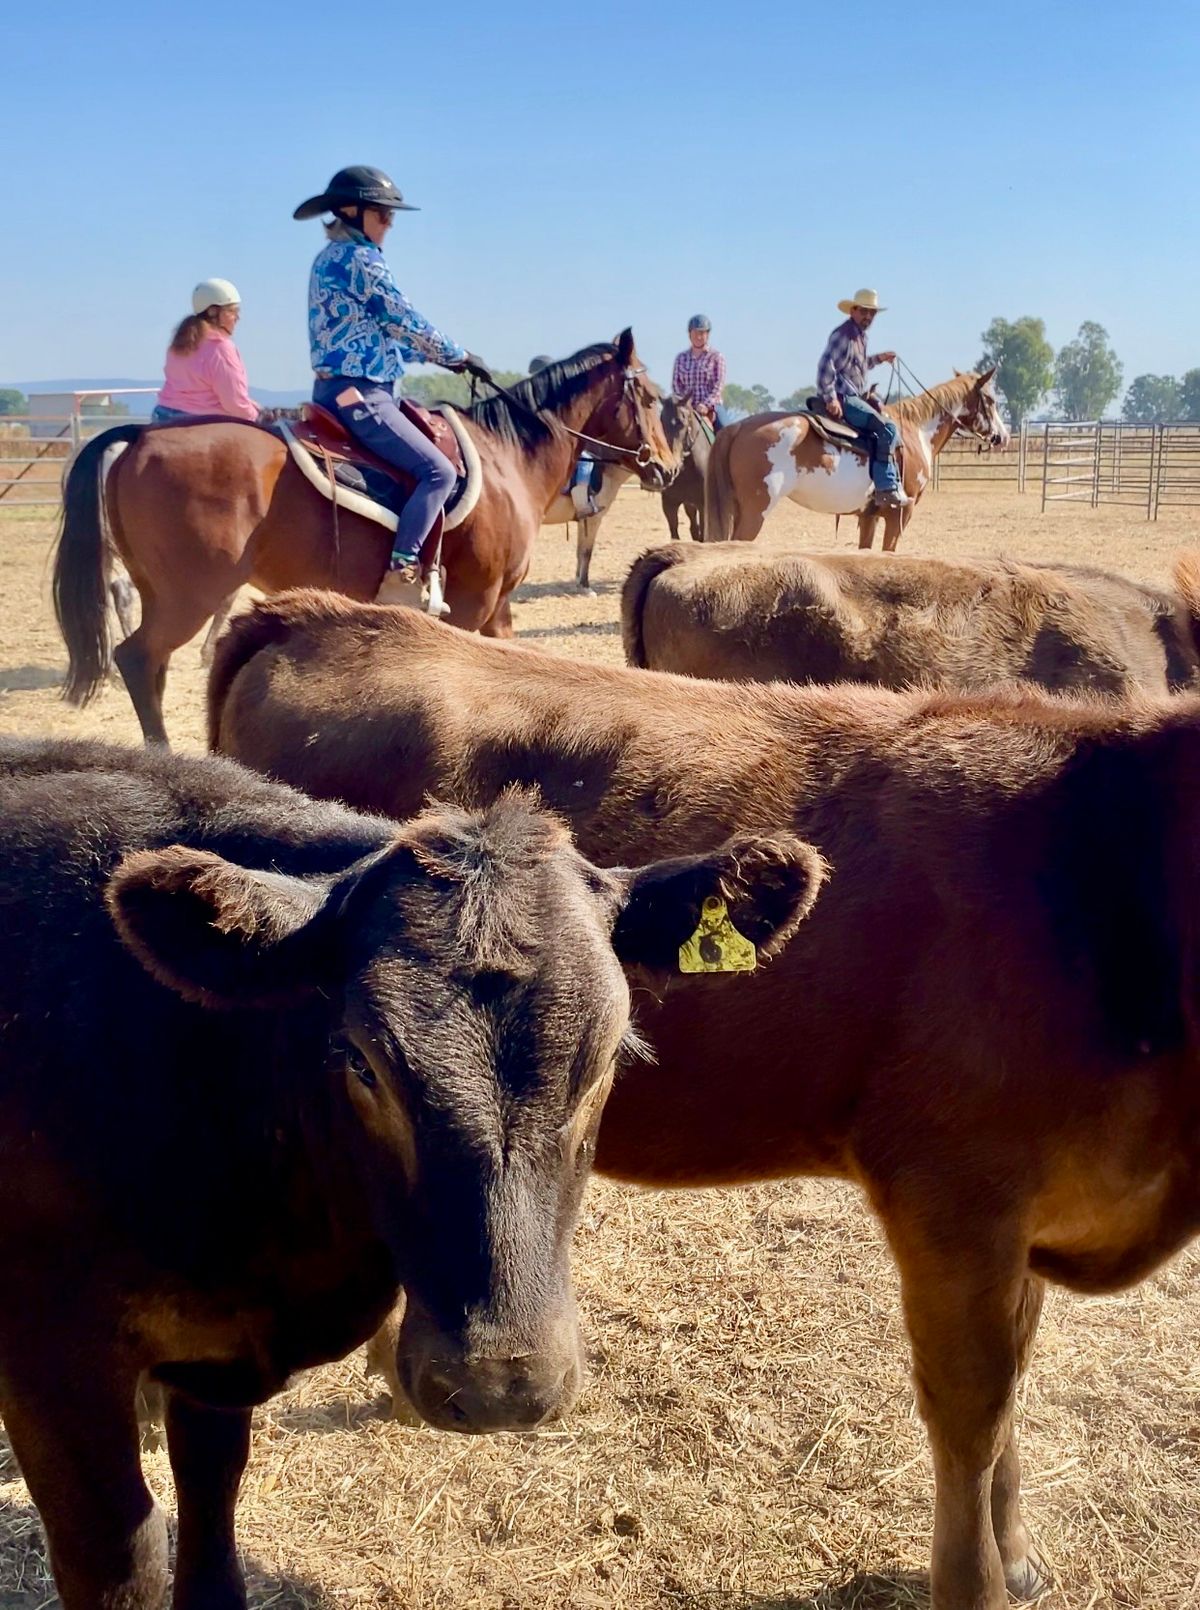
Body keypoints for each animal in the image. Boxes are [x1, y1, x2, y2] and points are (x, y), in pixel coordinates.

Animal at [53, 336, 673, 750]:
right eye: (646, 394)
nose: (666, 466)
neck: (504, 458)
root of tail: (141, 437)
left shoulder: (497, 606)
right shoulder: (473, 603)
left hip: (161, 592)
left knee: (150, 665)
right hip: (189, 595)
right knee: (138, 659)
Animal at [705, 370, 1005, 553]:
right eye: (991, 400)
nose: (1002, 436)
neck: (916, 431)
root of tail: (739, 427)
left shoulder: (869, 516)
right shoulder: (900, 514)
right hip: (755, 511)